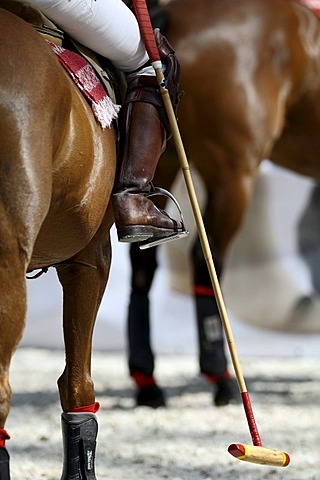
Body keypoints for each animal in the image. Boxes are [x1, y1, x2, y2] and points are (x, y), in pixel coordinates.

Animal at [126, 0, 320, 406]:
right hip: (233, 176)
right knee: (206, 262)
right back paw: (223, 377)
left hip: (165, 161)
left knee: (142, 262)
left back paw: (147, 382)